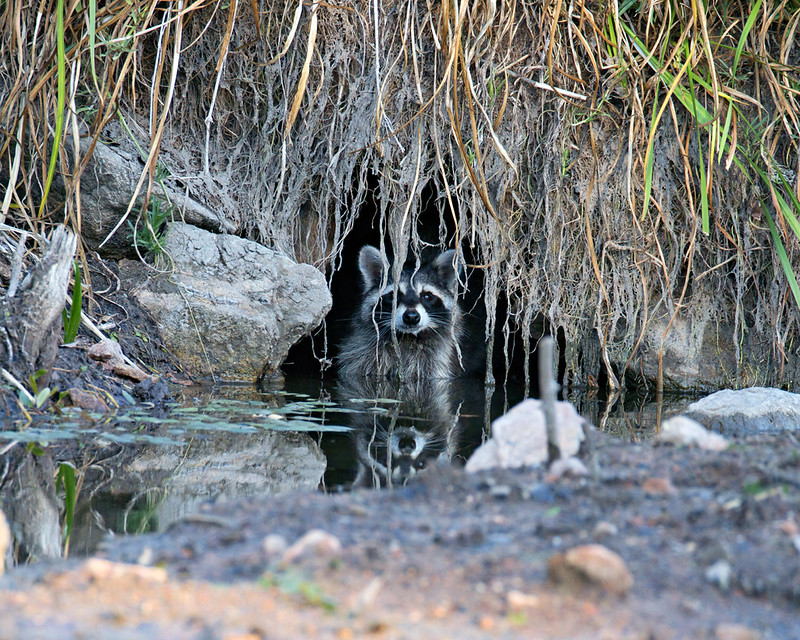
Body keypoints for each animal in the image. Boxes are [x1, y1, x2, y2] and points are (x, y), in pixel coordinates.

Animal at [337, 245, 465, 380]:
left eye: (427, 296)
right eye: (394, 295)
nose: (411, 317)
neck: (407, 337)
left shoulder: (436, 362)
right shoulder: (362, 356)